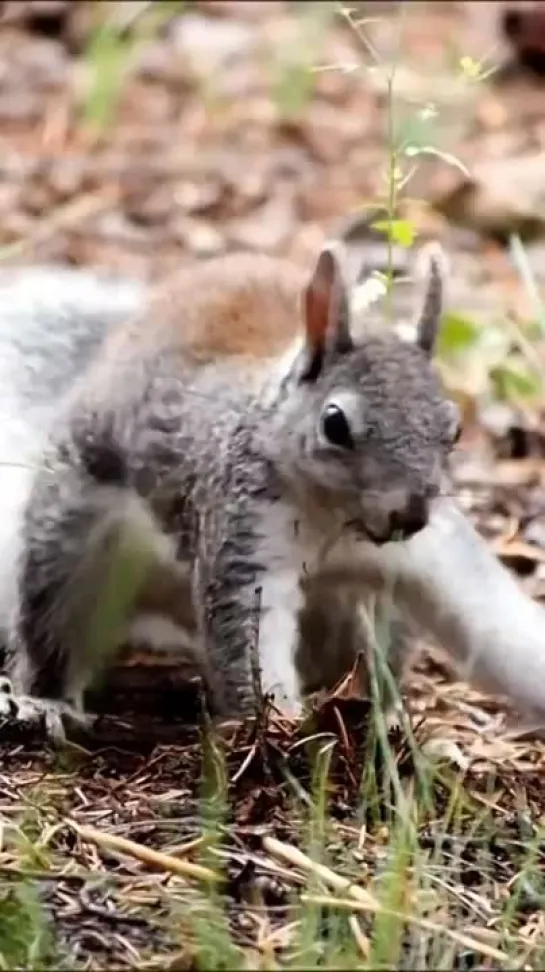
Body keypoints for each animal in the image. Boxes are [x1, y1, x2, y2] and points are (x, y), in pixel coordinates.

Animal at [0, 241, 544, 736]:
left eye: (453, 430)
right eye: (334, 424)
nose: (409, 516)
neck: (337, 523)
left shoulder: (435, 554)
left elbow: (500, 628)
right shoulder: (243, 536)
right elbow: (249, 638)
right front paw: (282, 728)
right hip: (72, 536)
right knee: (53, 623)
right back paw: (47, 702)